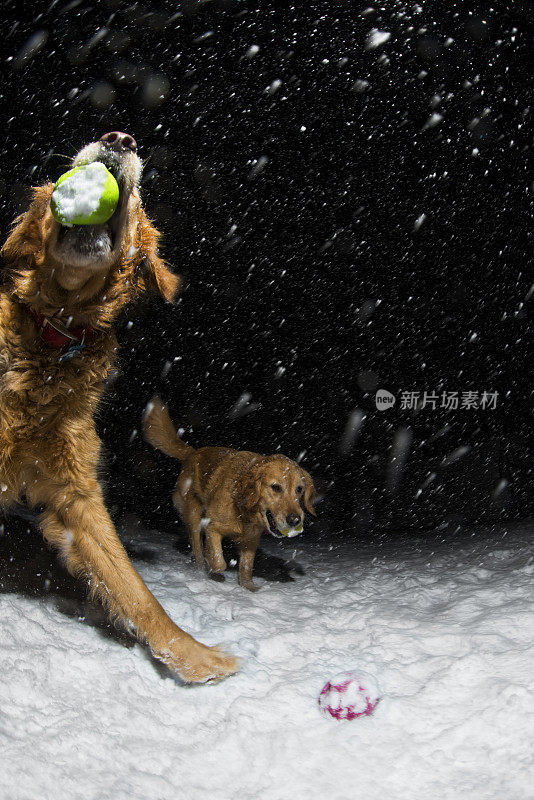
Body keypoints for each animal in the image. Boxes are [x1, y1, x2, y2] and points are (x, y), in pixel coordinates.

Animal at [0, 130, 239, 680]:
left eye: (136, 201)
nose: (120, 138)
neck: (53, 338)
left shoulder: (75, 494)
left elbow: (135, 589)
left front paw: (192, 656)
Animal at [143, 396, 318, 592]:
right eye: (276, 487)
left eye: (299, 489)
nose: (295, 520)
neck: (244, 511)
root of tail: (193, 453)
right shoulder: (212, 527)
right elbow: (219, 561)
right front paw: (214, 570)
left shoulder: (251, 540)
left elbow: (247, 567)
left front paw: (249, 587)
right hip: (194, 516)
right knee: (197, 548)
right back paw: (200, 569)